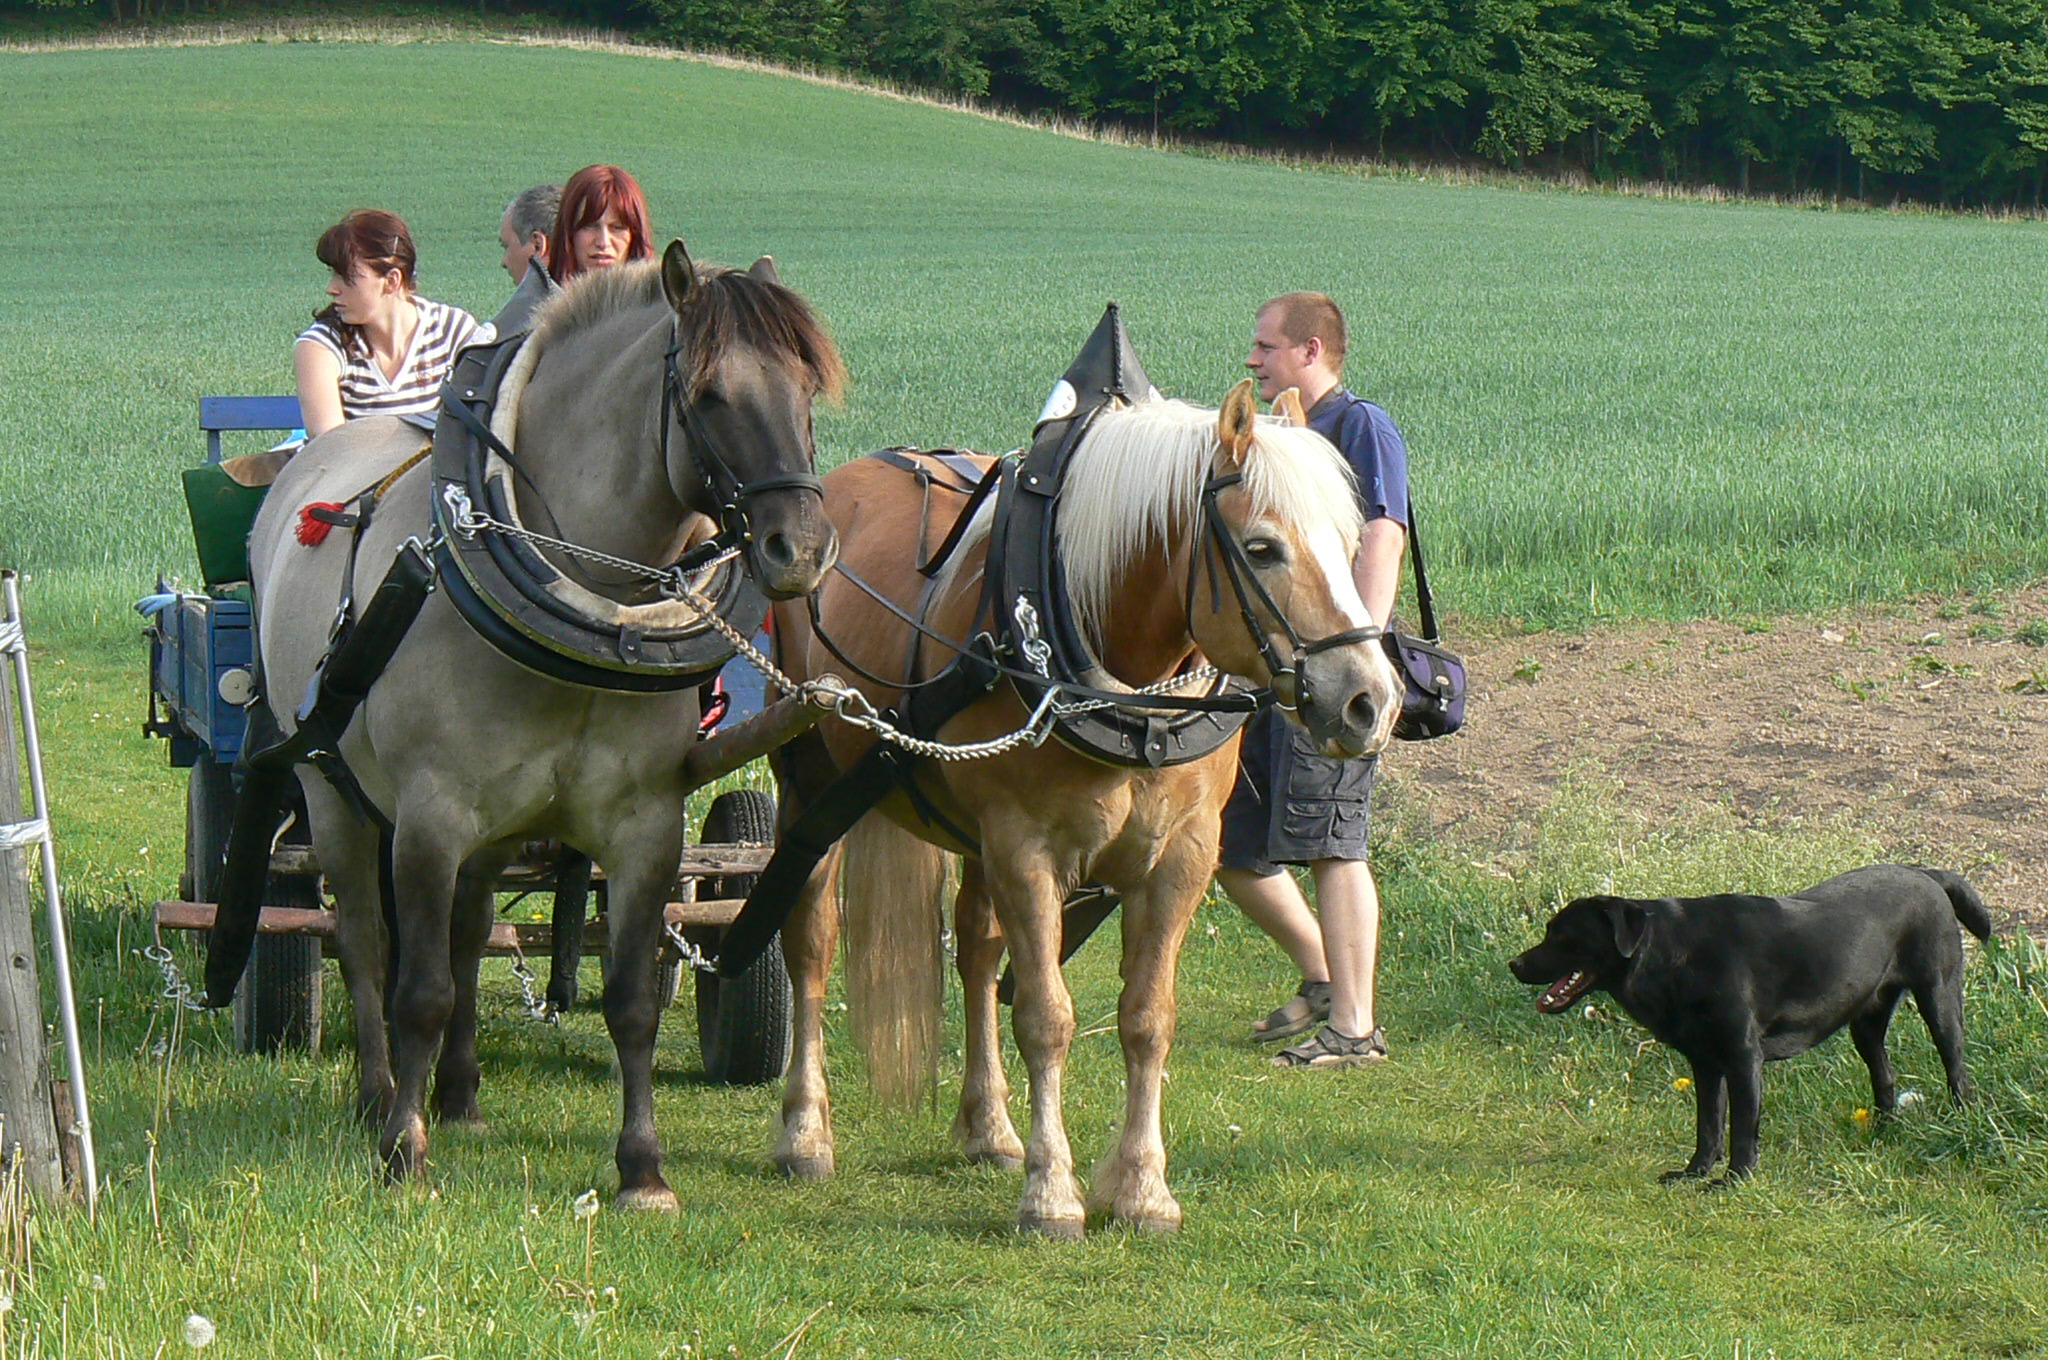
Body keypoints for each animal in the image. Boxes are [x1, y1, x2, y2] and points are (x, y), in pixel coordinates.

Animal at [245, 244, 839, 1212]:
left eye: (807, 387)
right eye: (710, 394)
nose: (804, 548)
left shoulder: (644, 827)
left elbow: (630, 999)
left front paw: (643, 1170)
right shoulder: (430, 817)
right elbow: (417, 990)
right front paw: (403, 1153)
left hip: (489, 836)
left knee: (466, 933)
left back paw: (459, 1096)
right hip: (333, 795)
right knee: (366, 945)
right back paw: (379, 1098)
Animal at [770, 378, 1409, 1228]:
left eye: (1349, 542)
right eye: (1263, 548)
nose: (1370, 701)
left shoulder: (1181, 857)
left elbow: (1146, 1019)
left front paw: (1141, 1187)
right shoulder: (1026, 848)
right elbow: (1046, 1018)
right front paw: (1051, 1194)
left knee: (977, 951)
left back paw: (989, 1127)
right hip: (810, 781)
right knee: (809, 942)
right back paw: (805, 1132)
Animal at [1507, 864, 1982, 1187]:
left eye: (1561, 934)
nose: (1514, 964)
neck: (1670, 956)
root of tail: (1924, 873)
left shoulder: (1742, 1059)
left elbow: (1740, 1129)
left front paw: (1735, 1179)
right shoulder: (1704, 1063)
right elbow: (1709, 1125)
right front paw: (1694, 1173)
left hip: (1940, 1000)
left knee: (1957, 1071)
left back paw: (1961, 1122)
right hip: (1865, 1024)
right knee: (1884, 1075)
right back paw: (1884, 1133)